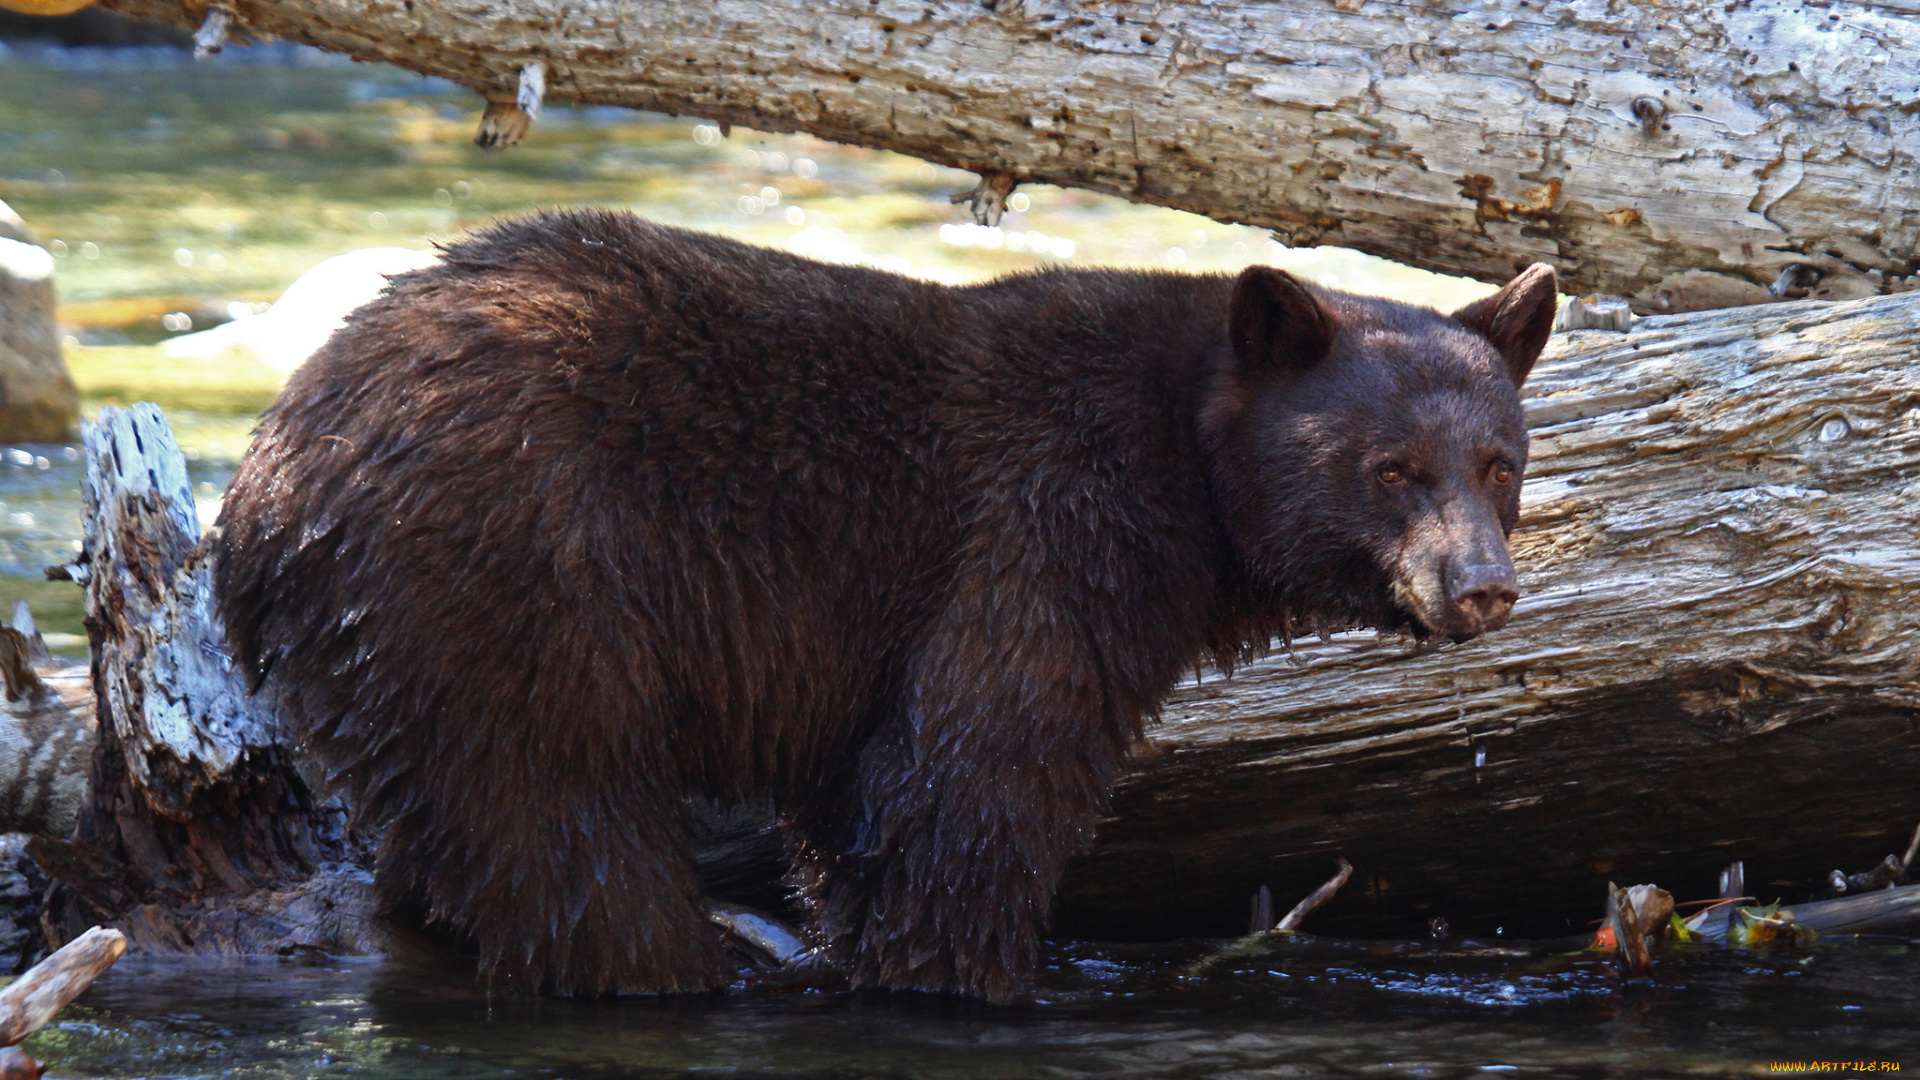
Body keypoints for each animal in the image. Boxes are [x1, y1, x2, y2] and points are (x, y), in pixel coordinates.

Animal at [210, 210, 1559, 999]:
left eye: (1500, 462)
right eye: (1393, 470)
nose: (1482, 588)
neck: (1185, 474)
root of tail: (263, 483)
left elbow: (866, 802)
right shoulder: (1040, 530)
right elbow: (966, 785)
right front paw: (968, 974)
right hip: (515, 576)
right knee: (562, 819)